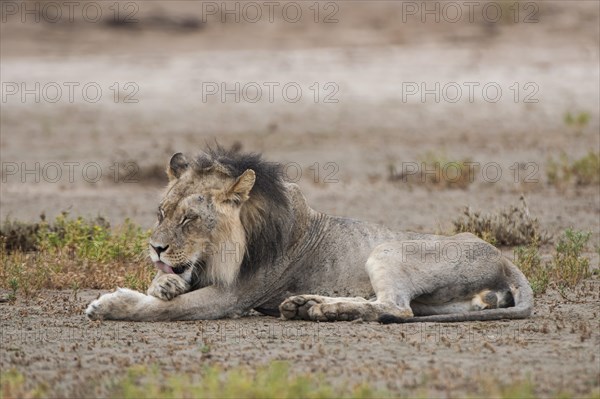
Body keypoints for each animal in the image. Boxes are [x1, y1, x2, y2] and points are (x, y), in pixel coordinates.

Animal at [85, 148, 536, 324]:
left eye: (189, 219)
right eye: (162, 213)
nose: (155, 248)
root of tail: (504, 258)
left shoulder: (233, 296)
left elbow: (165, 310)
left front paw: (110, 304)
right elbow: (168, 289)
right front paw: (163, 283)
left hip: (388, 248)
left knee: (397, 308)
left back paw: (321, 309)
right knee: (395, 306)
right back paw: (306, 305)